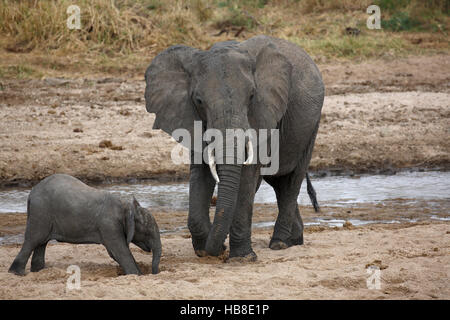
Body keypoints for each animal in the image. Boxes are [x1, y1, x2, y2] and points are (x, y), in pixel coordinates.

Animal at [8, 174, 162, 276]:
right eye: (147, 231)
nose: (154, 273)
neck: (126, 206)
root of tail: (31, 193)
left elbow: (114, 252)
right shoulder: (109, 225)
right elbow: (120, 250)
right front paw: (137, 275)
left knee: (41, 243)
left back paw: (39, 272)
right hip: (41, 212)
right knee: (33, 240)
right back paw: (17, 273)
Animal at [144, 35, 324, 260]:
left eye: (252, 96)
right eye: (199, 101)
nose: (220, 248)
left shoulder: (263, 114)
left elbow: (247, 176)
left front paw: (242, 258)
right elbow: (200, 171)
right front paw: (205, 250)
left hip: (311, 126)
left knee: (291, 181)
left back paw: (279, 243)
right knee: (278, 184)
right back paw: (294, 240)